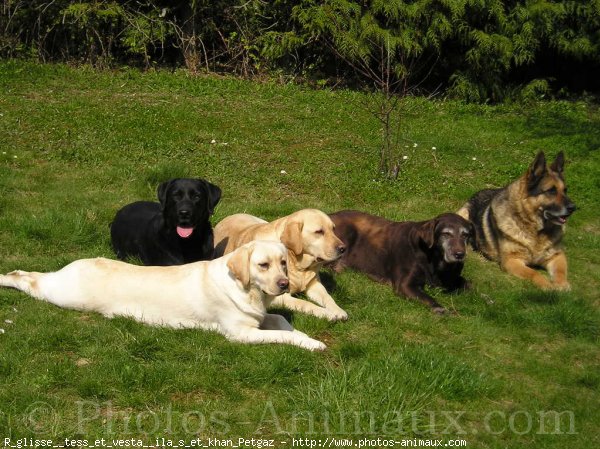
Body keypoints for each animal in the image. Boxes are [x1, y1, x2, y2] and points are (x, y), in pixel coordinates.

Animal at [328, 212, 474, 314]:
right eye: (446, 234)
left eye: (465, 235)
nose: (460, 254)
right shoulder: (405, 285)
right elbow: (427, 297)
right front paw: (439, 308)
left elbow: (469, 284)